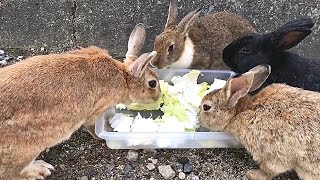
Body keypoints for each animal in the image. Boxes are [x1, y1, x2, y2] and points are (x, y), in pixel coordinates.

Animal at [0, 23, 160, 179]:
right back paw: (40, 170)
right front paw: (100, 138)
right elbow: (91, 127)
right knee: (11, 174)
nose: (159, 98)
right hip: (26, 151)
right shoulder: (96, 111)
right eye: (152, 83)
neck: (124, 78)